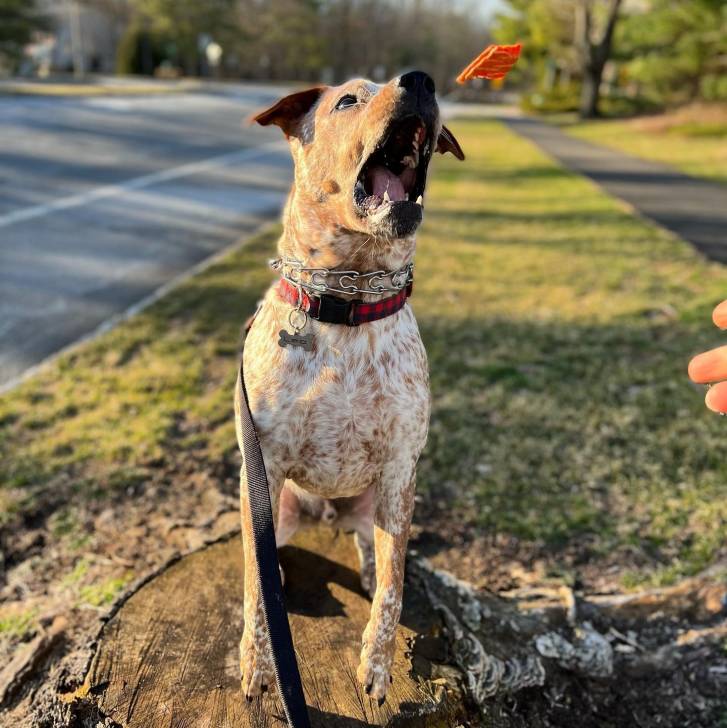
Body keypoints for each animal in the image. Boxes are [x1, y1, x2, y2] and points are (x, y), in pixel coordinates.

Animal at [236, 71, 464, 704]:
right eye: (346, 100)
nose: (421, 80)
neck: (349, 303)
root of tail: (327, 514)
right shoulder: (264, 467)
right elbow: (255, 585)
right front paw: (259, 664)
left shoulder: (400, 473)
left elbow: (392, 588)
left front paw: (377, 668)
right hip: (279, 503)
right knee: (267, 555)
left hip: (377, 502)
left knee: (370, 547)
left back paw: (362, 562)